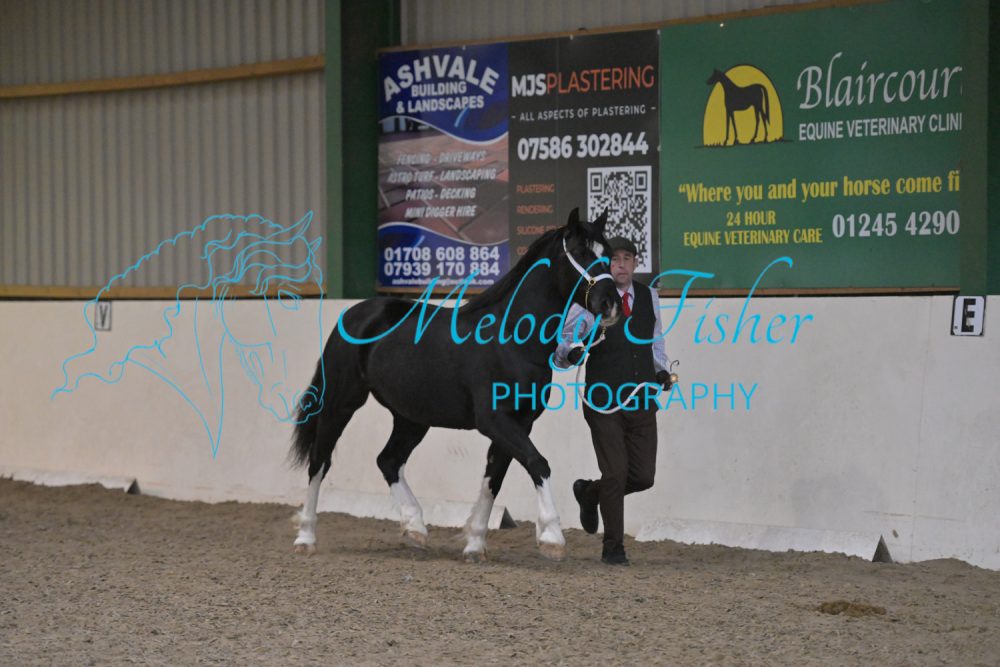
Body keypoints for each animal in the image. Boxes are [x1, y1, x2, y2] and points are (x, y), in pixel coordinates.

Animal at [289, 208, 621, 562]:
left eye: (608, 254)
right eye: (582, 252)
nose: (611, 303)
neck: (510, 340)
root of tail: (354, 314)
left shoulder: (520, 423)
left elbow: (494, 478)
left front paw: (474, 543)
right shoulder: (495, 420)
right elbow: (537, 463)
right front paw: (552, 536)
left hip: (411, 417)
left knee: (388, 460)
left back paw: (415, 527)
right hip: (341, 403)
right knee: (319, 461)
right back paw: (306, 537)